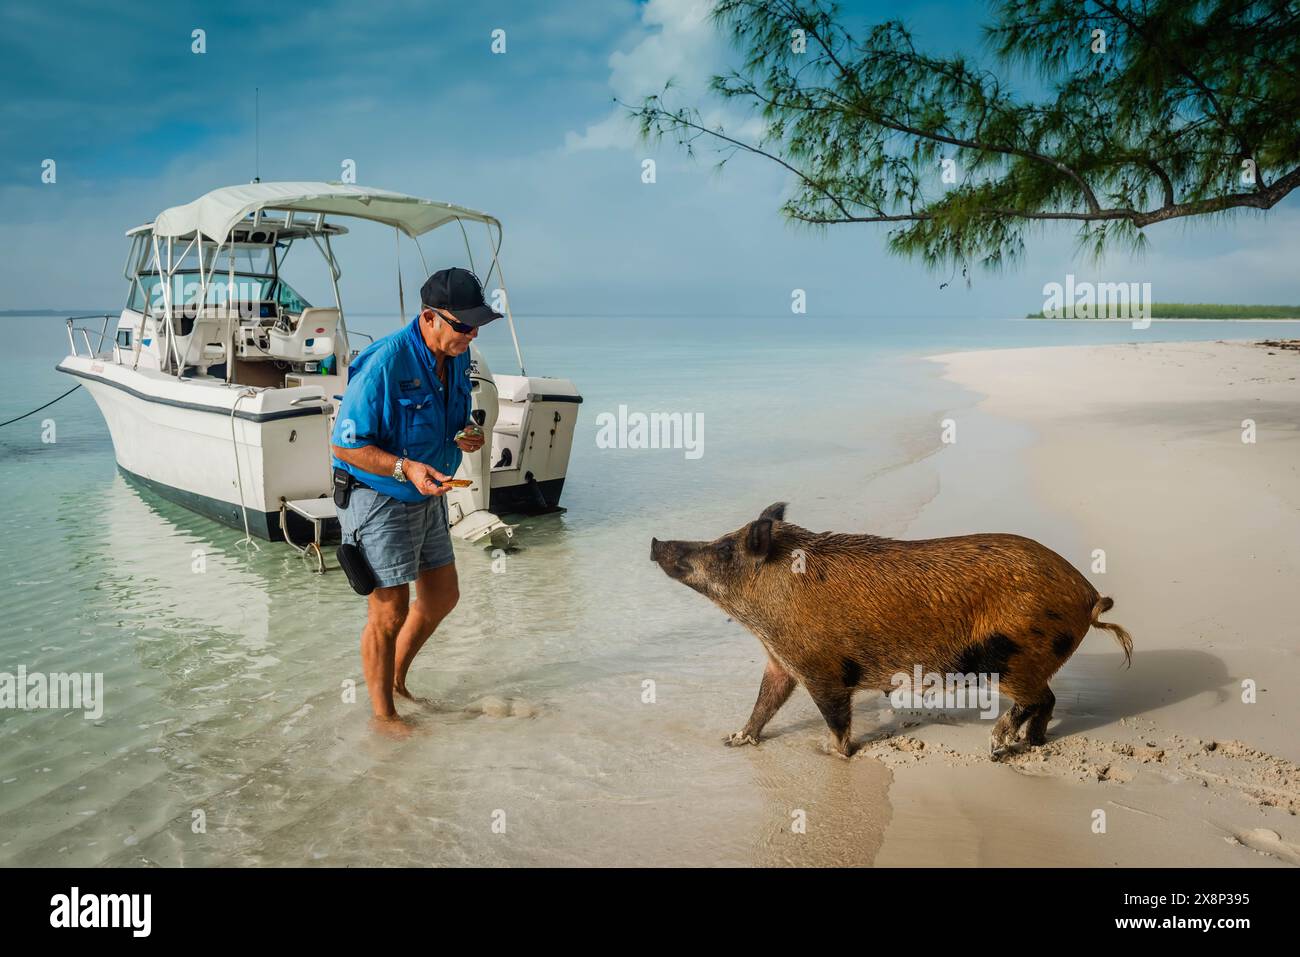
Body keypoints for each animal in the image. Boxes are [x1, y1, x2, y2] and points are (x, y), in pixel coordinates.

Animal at [650, 504, 1128, 759]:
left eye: (725, 548)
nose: (656, 542)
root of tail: (1089, 595)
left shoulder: (822, 669)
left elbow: (836, 718)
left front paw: (831, 755)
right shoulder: (781, 663)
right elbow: (764, 703)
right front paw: (733, 740)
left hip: (1013, 654)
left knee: (1036, 699)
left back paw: (996, 749)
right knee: (1048, 701)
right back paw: (1033, 744)